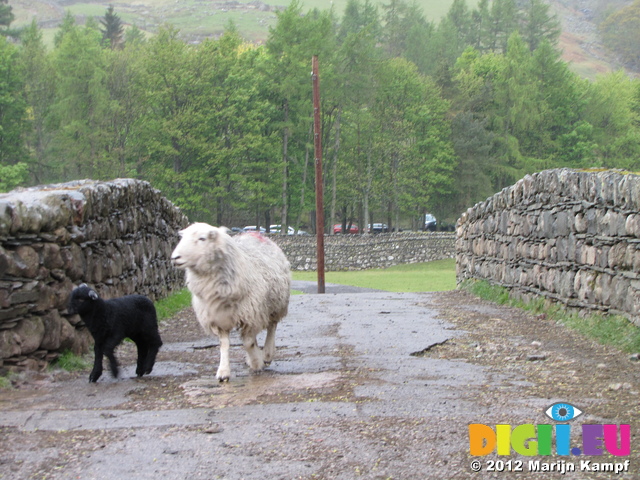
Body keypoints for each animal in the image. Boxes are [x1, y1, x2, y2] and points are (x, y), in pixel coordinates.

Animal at [170, 222, 290, 382]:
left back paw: (267, 354)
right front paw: (223, 371)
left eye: (202, 238)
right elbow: (225, 344)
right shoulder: (219, 317)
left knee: (271, 327)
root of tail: (254, 234)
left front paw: (256, 362)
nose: (175, 257)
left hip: (275, 304)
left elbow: (248, 342)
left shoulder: (251, 314)